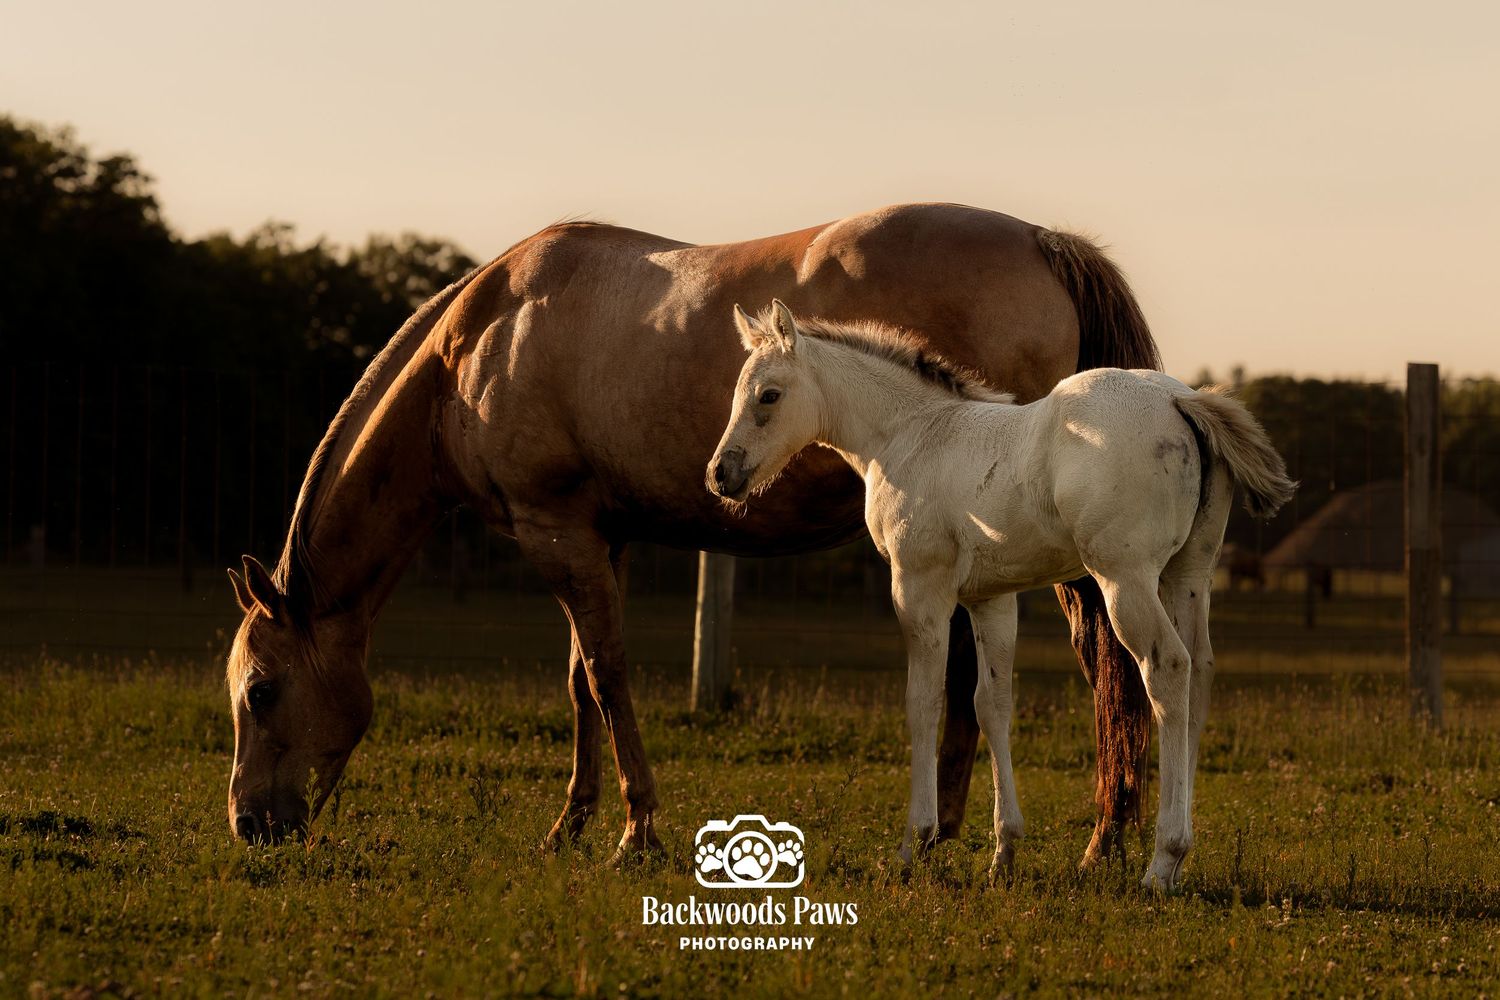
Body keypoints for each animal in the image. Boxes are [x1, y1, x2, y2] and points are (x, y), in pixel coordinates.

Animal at [222, 203, 1162, 864]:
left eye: (260, 691)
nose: (248, 824)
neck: (482, 342)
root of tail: (1042, 242)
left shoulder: (556, 534)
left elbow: (607, 676)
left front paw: (635, 830)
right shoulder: (599, 538)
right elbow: (579, 681)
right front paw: (571, 823)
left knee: (1108, 668)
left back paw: (1098, 842)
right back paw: (966, 830)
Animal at [707, 302, 1294, 889]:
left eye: (768, 395)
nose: (721, 474)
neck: (910, 435)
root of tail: (1181, 400)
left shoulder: (919, 586)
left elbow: (924, 702)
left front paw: (913, 844)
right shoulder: (991, 598)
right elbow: (991, 705)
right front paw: (1003, 851)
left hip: (1124, 578)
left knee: (1168, 668)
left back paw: (1162, 861)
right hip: (1187, 576)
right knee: (1200, 674)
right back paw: (1176, 861)